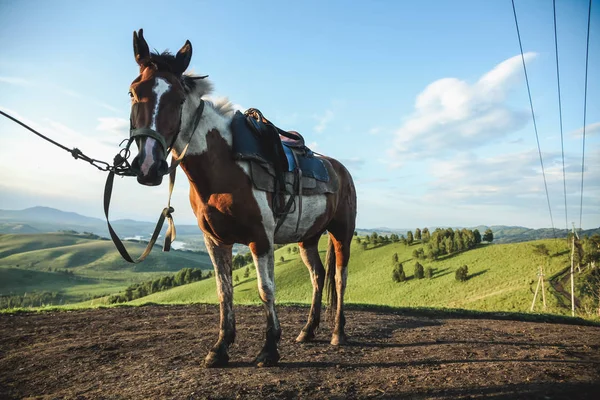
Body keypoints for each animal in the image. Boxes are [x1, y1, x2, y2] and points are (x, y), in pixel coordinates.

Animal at [126, 30, 356, 368]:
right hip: (308, 238)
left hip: (342, 233)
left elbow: (265, 289)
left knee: (339, 278)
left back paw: (338, 333)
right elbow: (225, 292)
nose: (148, 166)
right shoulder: (215, 241)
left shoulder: (260, 239)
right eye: (133, 92)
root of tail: (341, 170)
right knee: (318, 276)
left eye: (178, 99)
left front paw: (269, 348)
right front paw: (220, 348)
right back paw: (308, 330)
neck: (223, 165)